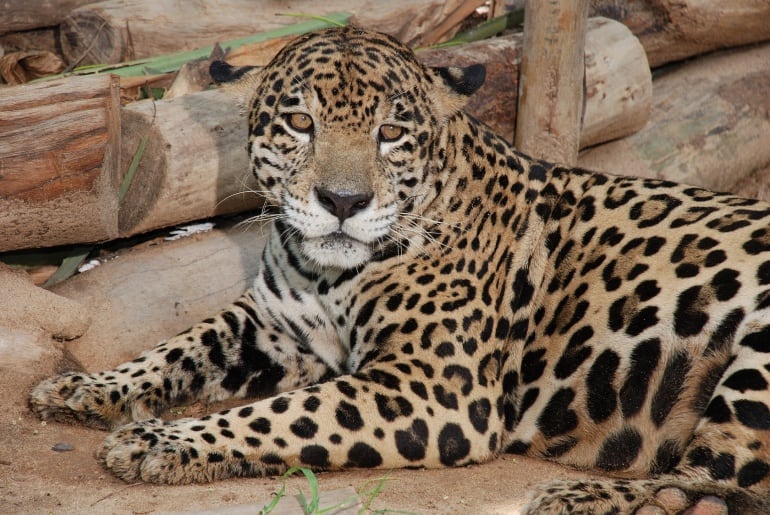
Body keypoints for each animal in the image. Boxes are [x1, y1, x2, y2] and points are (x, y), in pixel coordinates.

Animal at [29, 26, 770, 513]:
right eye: (300, 123)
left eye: (391, 133)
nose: (343, 201)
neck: (326, 274)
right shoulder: (271, 325)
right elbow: (176, 347)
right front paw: (85, 386)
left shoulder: (434, 388)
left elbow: (284, 414)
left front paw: (158, 438)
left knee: (721, 477)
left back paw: (601, 496)